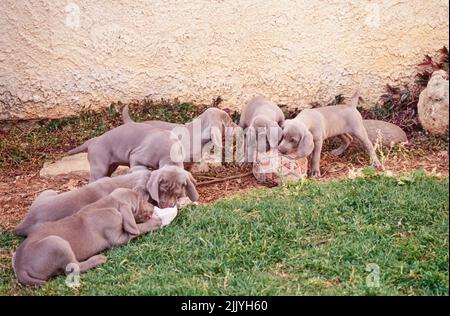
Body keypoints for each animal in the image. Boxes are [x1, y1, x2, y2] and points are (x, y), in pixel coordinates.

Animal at [11, 188, 177, 286]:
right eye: (140, 201)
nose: (153, 206)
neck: (109, 203)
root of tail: (20, 267)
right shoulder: (118, 238)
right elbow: (139, 229)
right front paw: (156, 221)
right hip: (57, 243)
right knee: (73, 268)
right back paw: (98, 259)